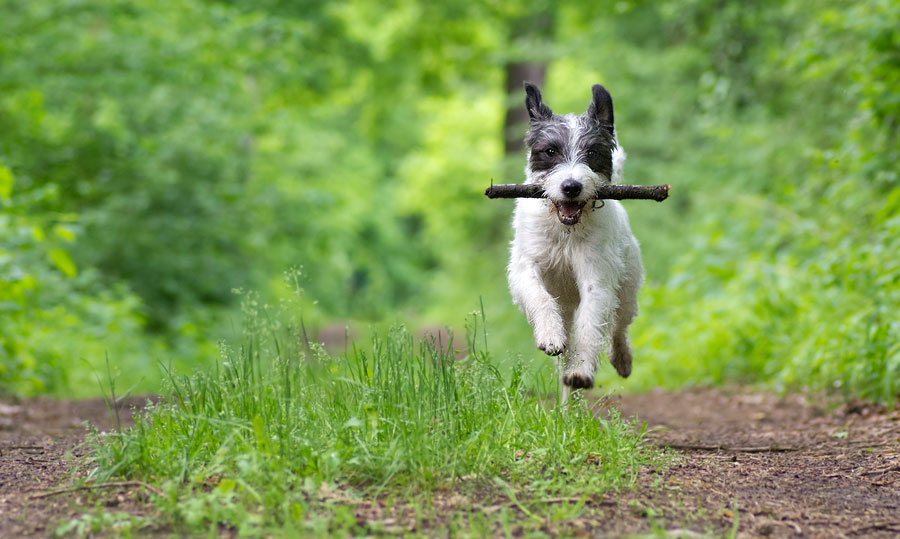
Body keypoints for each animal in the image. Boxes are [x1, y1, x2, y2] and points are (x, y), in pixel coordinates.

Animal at [506, 82, 648, 398]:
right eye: (550, 150)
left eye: (592, 152)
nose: (571, 186)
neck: (565, 233)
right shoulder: (525, 266)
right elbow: (539, 295)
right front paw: (549, 335)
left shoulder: (596, 276)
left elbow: (591, 323)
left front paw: (582, 371)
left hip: (627, 288)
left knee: (619, 326)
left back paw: (620, 359)